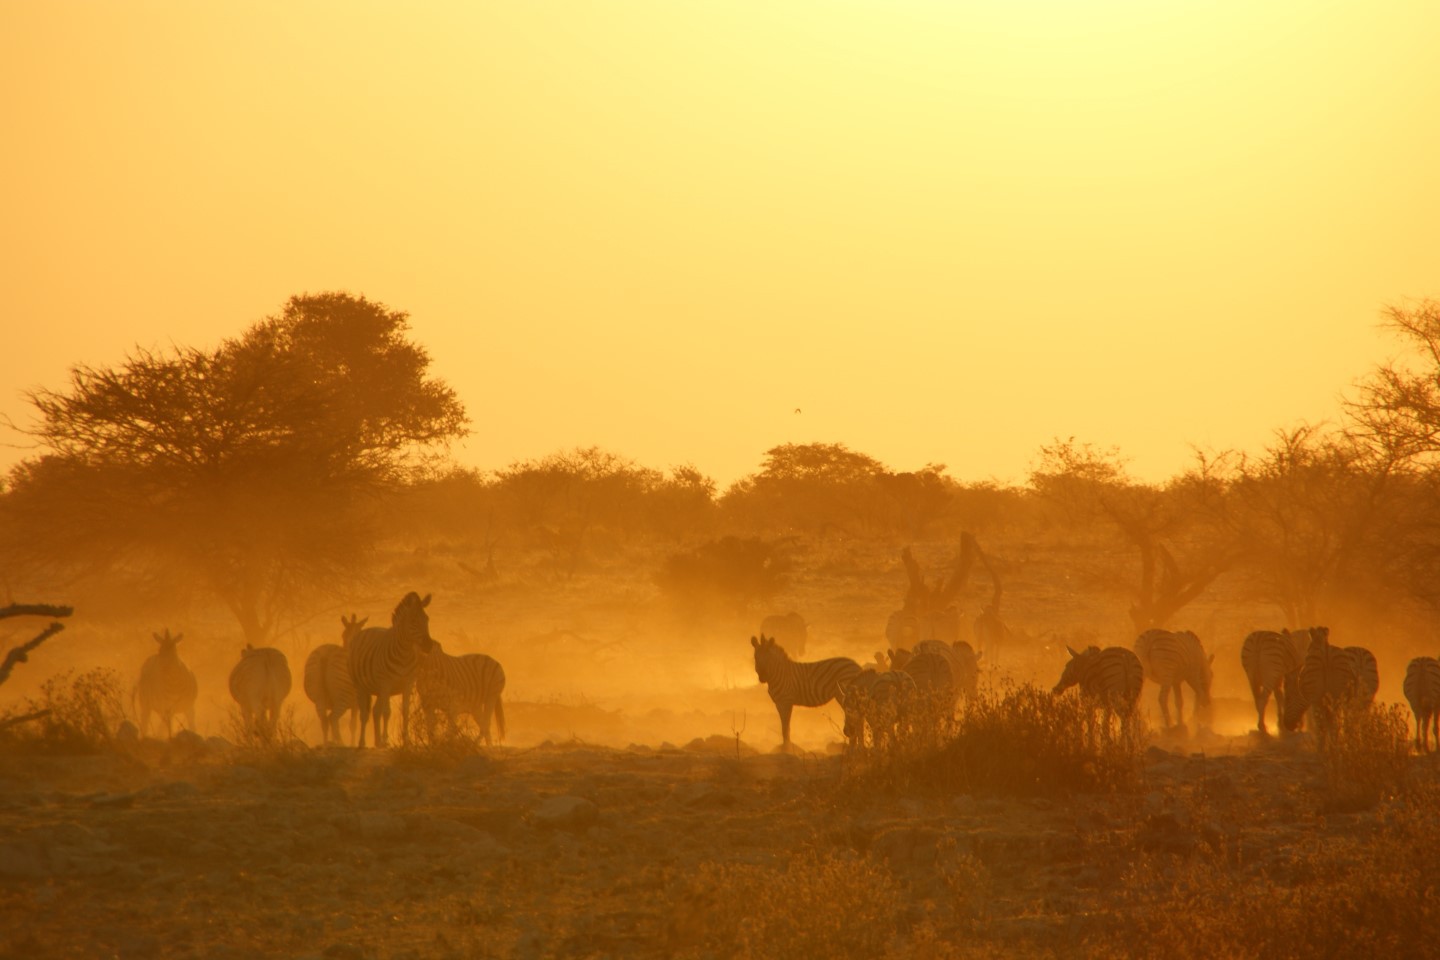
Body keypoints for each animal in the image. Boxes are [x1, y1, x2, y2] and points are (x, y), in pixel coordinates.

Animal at [303, 616, 365, 748]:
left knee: (325, 720)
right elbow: (353, 726)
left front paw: (333, 742)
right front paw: (352, 745)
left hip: (319, 696)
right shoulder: (356, 703)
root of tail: (326, 655)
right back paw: (341, 744)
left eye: (343, 635)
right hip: (343, 697)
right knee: (333, 719)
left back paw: (327, 745)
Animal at [349, 592, 434, 748]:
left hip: (379, 690)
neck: (404, 654)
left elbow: (405, 711)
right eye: (413, 620)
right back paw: (362, 743)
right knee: (364, 714)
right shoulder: (386, 683)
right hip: (361, 687)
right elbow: (387, 712)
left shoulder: (408, 683)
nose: (428, 645)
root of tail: (364, 631)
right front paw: (386, 740)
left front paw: (406, 741)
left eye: (426, 618)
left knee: (375, 711)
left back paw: (377, 742)